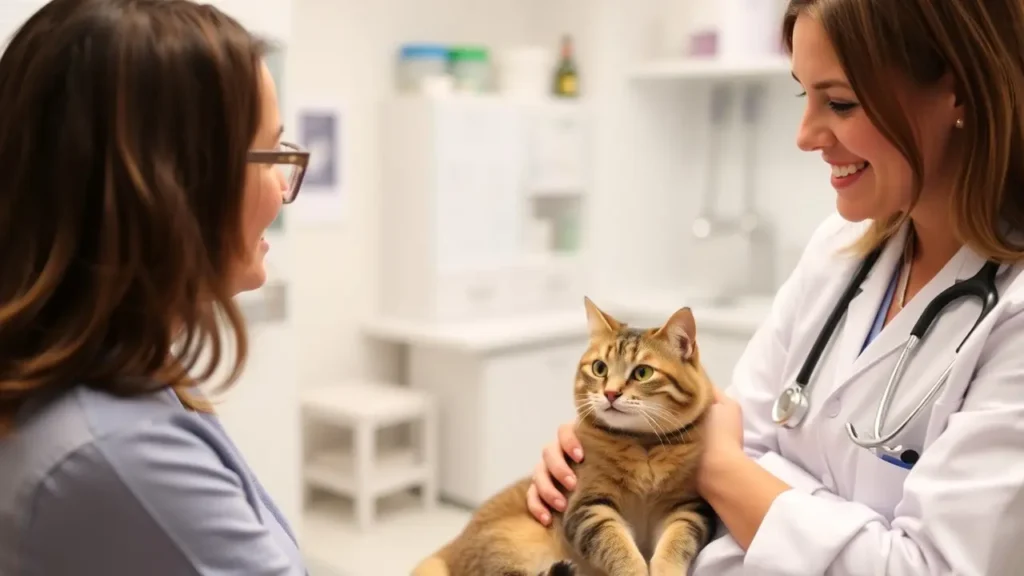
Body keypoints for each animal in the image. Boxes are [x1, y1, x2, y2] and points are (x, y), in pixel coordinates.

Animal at [411, 295, 716, 573]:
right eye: (600, 368)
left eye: (642, 372)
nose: (610, 393)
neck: (644, 447)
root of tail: (446, 553)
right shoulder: (588, 507)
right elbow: (621, 551)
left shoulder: (686, 508)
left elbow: (674, 546)